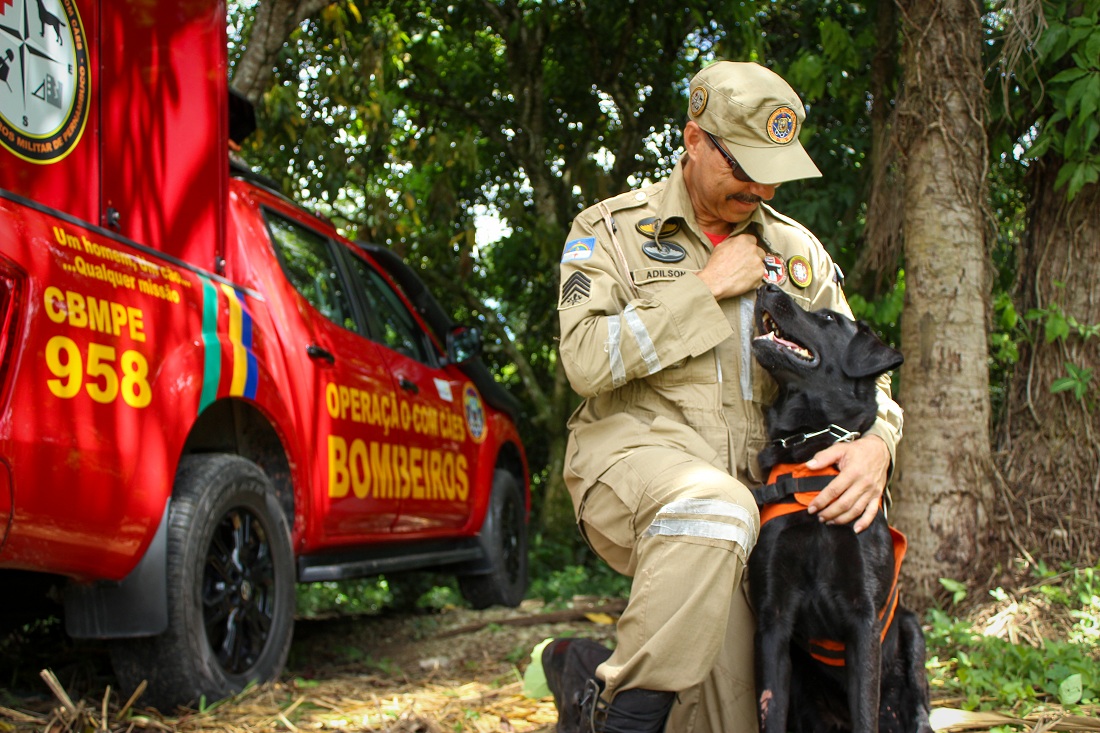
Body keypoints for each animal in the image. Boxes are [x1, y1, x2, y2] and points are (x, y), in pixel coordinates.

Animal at [748, 283, 928, 730]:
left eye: (829, 318)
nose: (766, 286)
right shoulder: (772, 620)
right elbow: (770, 709)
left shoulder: (864, 620)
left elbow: (865, 713)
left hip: (913, 631)